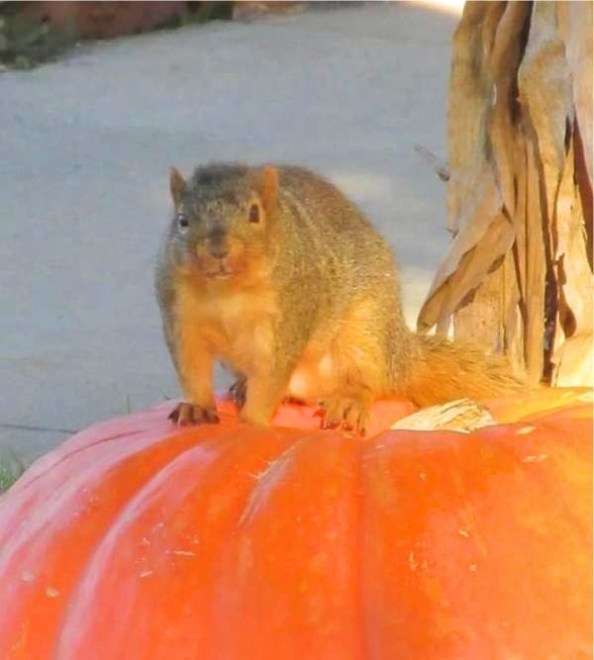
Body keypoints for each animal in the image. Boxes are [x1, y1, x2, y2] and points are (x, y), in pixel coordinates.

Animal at [155, 162, 522, 434]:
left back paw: (349, 402)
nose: (218, 249)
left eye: (254, 213)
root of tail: (403, 357)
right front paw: (197, 407)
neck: (227, 291)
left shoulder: (290, 314)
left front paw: (253, 421)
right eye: (182, 220)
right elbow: (191, 367)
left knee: (370, 381)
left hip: (365, 332)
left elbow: (271, 372)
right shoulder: (180, 315)